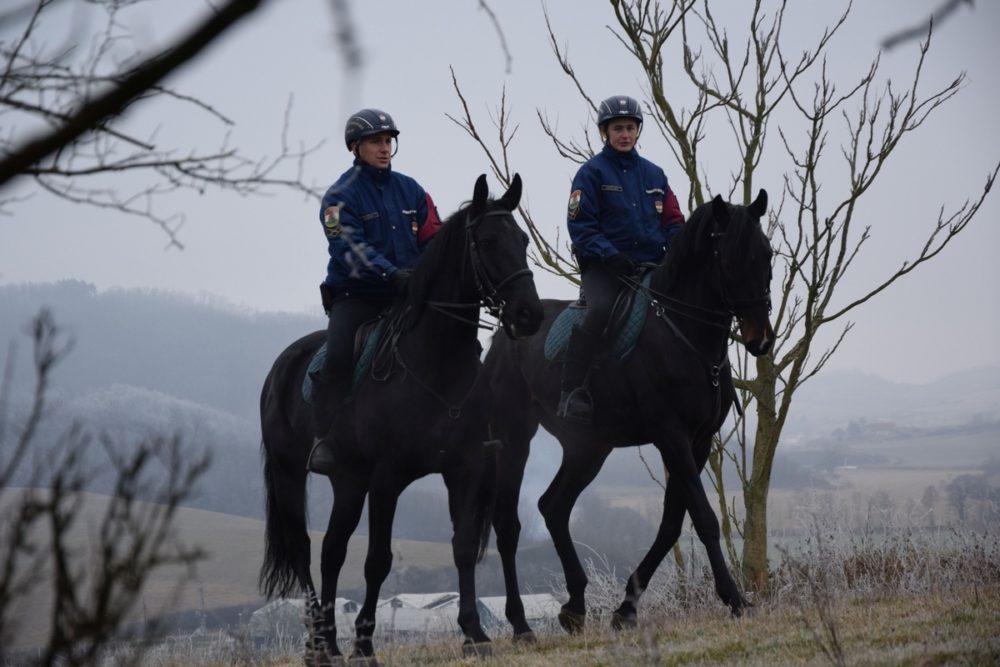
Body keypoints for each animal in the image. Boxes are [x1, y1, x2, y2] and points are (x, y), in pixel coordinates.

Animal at [258, 174, 540, 664]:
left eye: (523, 240)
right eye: (487, 241)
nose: (529, 314)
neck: (437, 363)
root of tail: (281, 366)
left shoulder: (465, 469)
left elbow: (463, 547)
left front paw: (474, 633)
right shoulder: (386, 478)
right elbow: (377, 561)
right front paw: (365, 643)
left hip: (348, 482)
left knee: (331, 551)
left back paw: (329, 642)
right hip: (292, 474)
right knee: (304, 550)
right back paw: (319, 644)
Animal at [484, 188, 772, 636]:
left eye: (767, 255)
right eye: (729, 260)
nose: (761, 340)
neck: (684, 335)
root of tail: (505, 334)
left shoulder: (698, 441)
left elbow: (672, 522)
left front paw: (626, 608)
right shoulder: (672, 436)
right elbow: (704, 517)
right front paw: (734, 598)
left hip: (589, 448)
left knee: (553, 506)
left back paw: (575, 607)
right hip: (515, 438)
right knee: (510, 522)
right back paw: (523, 622)